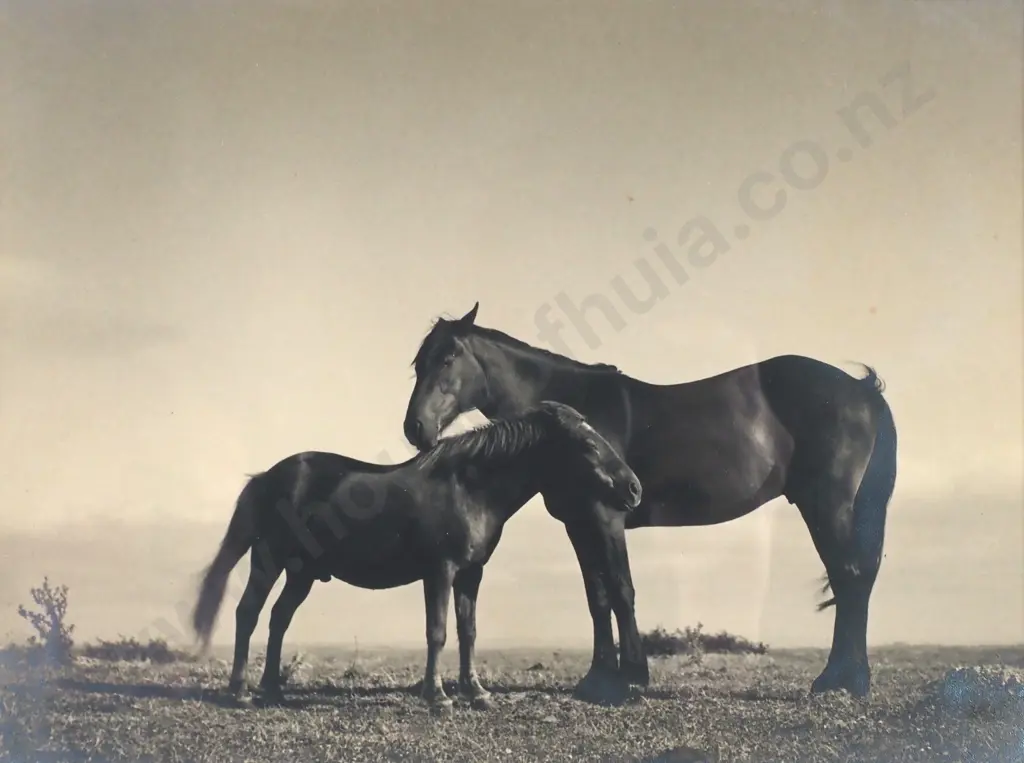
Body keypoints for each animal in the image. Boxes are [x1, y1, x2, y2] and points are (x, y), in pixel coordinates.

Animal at [189, 400, 643, 713]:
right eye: (587, 443)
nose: (634, 489)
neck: (468, 488)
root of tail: (267, 477)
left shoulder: (471, 574)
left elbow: (468, 631)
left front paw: (476, 693)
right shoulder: (440, 571)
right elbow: (437, 631)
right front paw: (438, 697)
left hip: (301, 574)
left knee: (278, 619)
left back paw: (272, 689)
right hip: (268, 561)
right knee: (248, 613)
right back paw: (240, 691)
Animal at [402, 302, 898, 703]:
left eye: (448, 357)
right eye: (418, 362)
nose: (416, 428)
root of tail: (862, 390)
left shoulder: (606, 517)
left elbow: (622, 590)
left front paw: (632, 678)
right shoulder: (578, 522)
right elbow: (597, 596)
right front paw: (598, 678)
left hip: (826, 505)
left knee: (850, 577)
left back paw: (840, 680)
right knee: (858, 578)